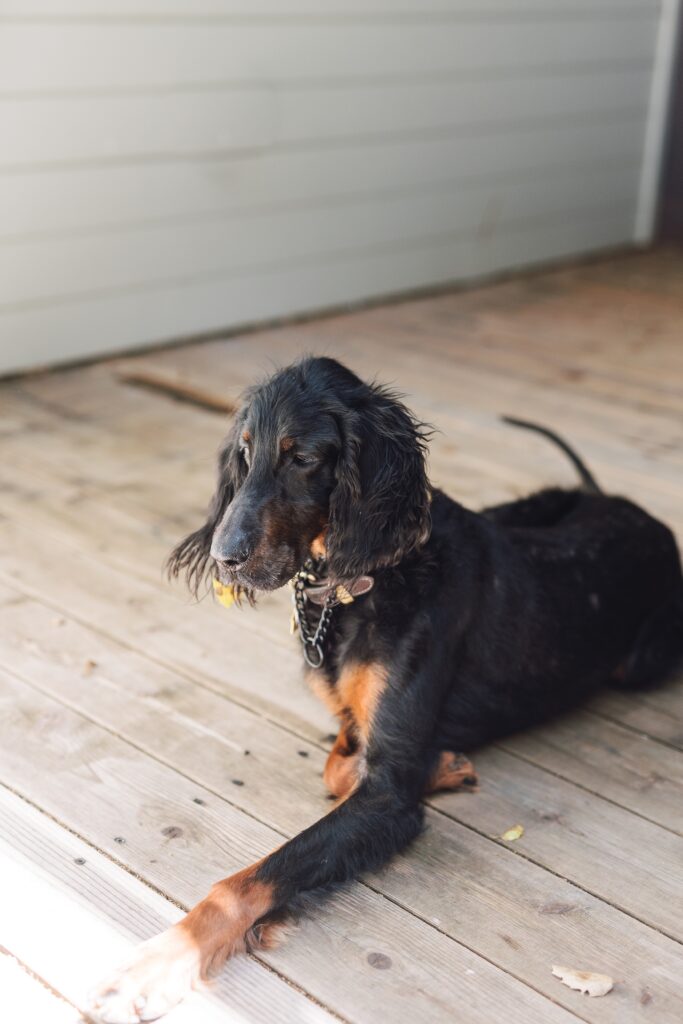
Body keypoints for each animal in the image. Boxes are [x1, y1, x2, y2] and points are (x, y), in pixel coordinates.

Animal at [92, 356, 683, 1019]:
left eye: (303, 458)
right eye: (244, 453)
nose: (225, 556)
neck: (360, 584)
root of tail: (622, 504)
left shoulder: (387, 792)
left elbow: (254, 875)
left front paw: (155, 963)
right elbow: (337, 763)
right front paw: (441, 764)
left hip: (642, 662)